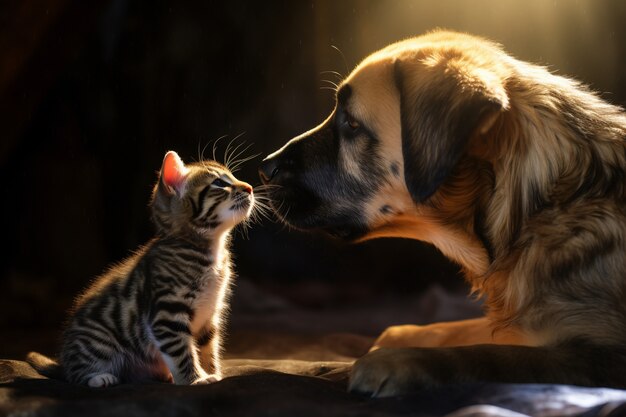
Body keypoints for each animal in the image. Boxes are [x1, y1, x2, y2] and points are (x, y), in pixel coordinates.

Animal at [58, 150, 252, 386]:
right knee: (75, 373)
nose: (250, 187)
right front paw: (195, 379)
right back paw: (98, 377)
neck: (207, 250)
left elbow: (207, 349)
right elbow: (182, 352)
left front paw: (212, 373)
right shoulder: (168, 314)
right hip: (96, 342)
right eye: (219, 183)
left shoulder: (210, 315)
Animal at [258, 30, 624, 394]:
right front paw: (398, 337)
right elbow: (465, 327)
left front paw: (395, 360)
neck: (537, 206)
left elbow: (491, 355)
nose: (265, 169)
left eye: (351, 123)